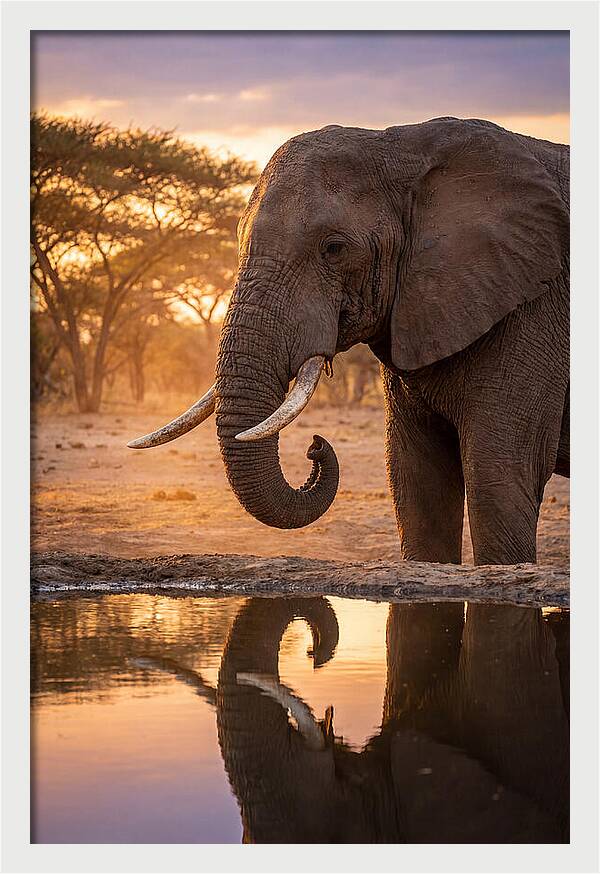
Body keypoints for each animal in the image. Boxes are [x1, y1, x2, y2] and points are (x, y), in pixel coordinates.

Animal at [129, 117, 569, 566]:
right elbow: (416, 481)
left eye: (334, 248)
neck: (404, 145)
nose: (316, 446)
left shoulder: (533, 307)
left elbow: (498, 478)